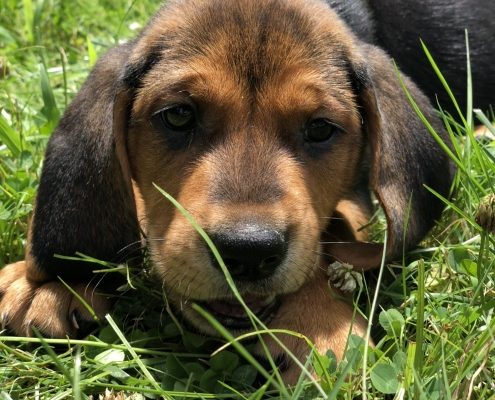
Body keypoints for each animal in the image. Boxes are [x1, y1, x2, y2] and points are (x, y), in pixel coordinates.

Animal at [0, 0, 468, 382]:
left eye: (320, 128)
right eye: (178, 115)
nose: (248, 253)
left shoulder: (355, 198)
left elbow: (328, 236)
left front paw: (320, 326)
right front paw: (51, 280)